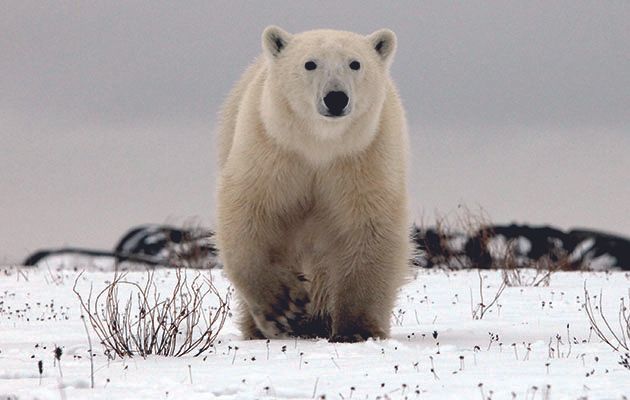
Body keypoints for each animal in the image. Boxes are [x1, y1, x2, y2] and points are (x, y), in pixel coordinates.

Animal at [217, 26, 414, 342]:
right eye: (310, 63)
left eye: (355, 63)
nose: (336, 98)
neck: (319, 146)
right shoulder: (272, 150)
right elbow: (250, 214)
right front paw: (283, 308)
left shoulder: (364, 157)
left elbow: (369, 227)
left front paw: (356, 330)